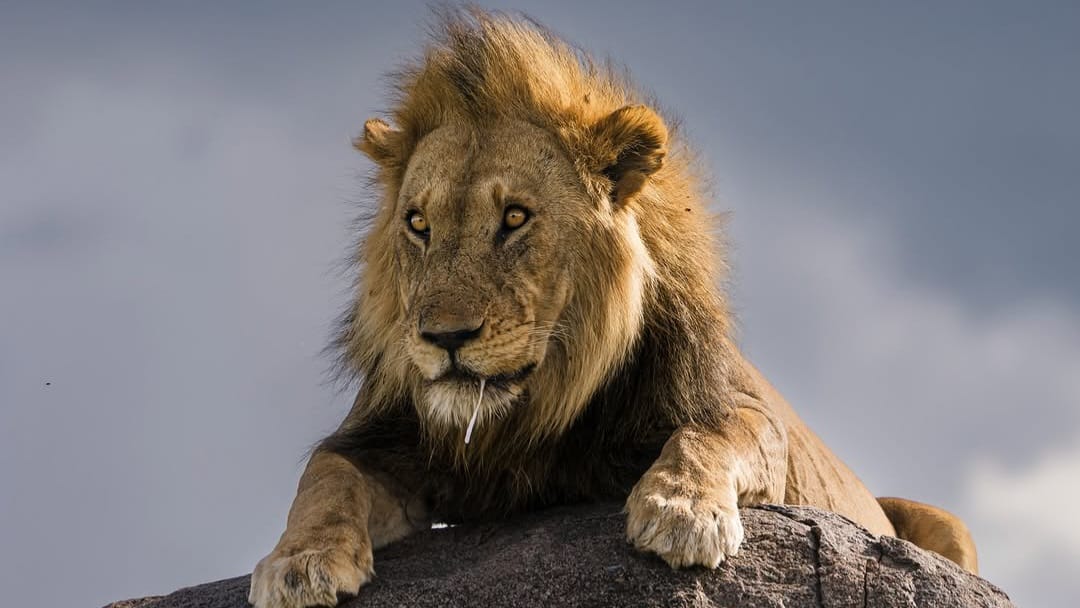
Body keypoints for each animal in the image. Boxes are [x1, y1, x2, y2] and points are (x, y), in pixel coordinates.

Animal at [249, 9, 977, 608]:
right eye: (418, 224)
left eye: (515, 218)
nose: (443, 337)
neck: (538, 408)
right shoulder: (385, 441)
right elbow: (325, 475)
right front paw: (299, 562)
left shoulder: (741, 411)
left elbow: (714, 433)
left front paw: (681, 512)